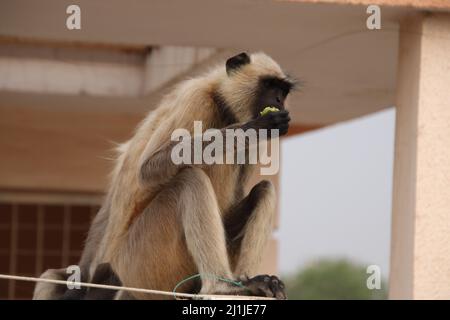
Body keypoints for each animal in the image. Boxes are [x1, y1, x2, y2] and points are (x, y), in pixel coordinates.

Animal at [34, 51, 296, 298]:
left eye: (283, 91)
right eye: (269, 85)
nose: (278, 100)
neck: (223, 105)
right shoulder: (195, 99)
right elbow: (148, 169)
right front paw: (255, 128)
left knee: (265, 189)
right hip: (141, 258)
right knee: (189, 179)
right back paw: (222, 287)